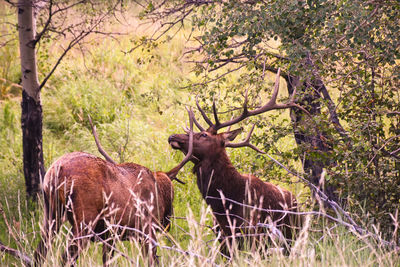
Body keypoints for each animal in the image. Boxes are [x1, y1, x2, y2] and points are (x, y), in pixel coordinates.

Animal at [34, 112, 194, 266]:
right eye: (172, 194)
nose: (167, 222)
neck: (159, 190)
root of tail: (57, 170)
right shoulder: (146, 230)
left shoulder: (111, 236)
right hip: (84, 220)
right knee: (66, 257)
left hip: (51, 214)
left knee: (39, 253)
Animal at [169, 69, 304, 258]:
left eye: (204, 135)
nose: (173, 136)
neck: (226, 203)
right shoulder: (223, 237)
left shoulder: (253, 233)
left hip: (290, 237)